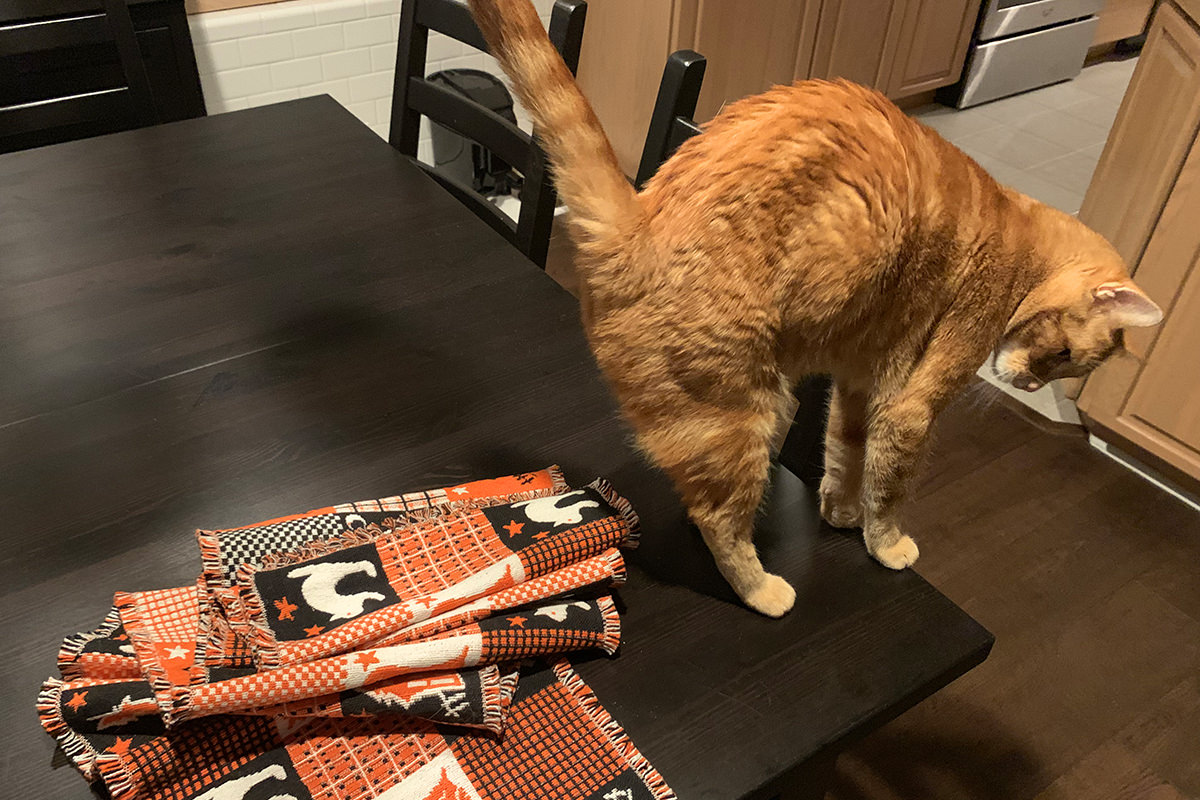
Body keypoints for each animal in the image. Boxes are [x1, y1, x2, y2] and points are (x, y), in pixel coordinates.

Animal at [463, 0, 1156, 618]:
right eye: (1063, 356)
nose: (1032, 385)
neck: (1021, 238)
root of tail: (634, 221)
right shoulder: (910, 405)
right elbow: (890, 489)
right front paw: (886, 544)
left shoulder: (858, 381)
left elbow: (845, 456)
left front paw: (840, 512)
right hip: (748, 416)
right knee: (718, 518)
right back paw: (763, 589)